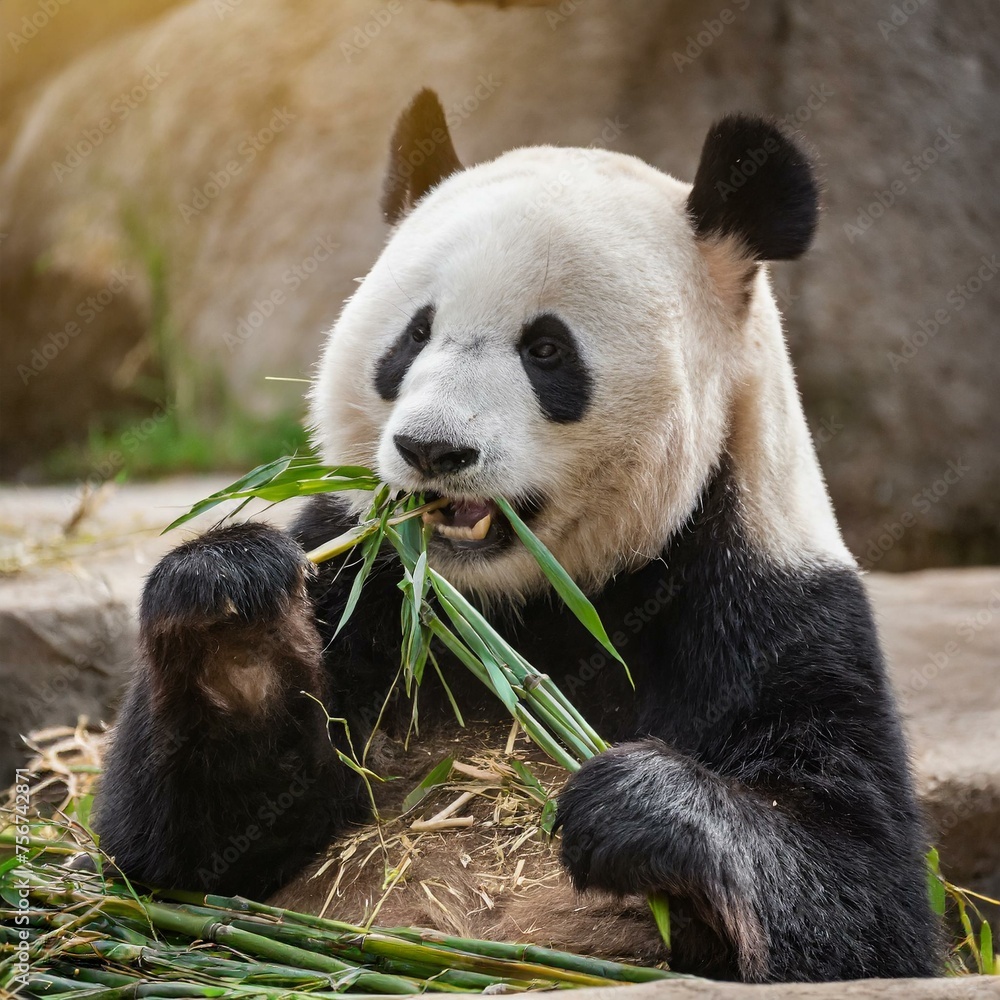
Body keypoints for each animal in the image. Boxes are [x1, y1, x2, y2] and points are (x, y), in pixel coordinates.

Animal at [94, 90, 938, 983]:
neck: (519, 601)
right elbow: (191, 851)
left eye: (546, 349)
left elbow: (865, 892)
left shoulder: (774, 604)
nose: (432, 449)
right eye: (413, 336)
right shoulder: (364, 571)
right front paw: (229, 607)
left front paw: (634, 806)